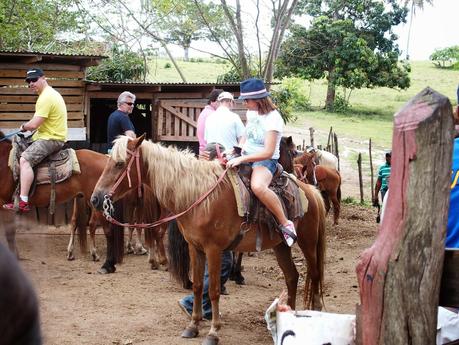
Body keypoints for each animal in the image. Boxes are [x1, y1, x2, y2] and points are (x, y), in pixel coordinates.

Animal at [90, 134, 328, 344]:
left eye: (120, 164)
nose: (95, 198)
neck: (200, 196)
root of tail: (310, 190)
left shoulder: (214, 250)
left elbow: (213, 290)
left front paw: (213, 332)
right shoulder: (195, 248)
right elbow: (197, 286)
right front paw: (193, 325)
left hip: (308, 243)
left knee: (314, 275)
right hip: (281, 246)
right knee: (292, 276)